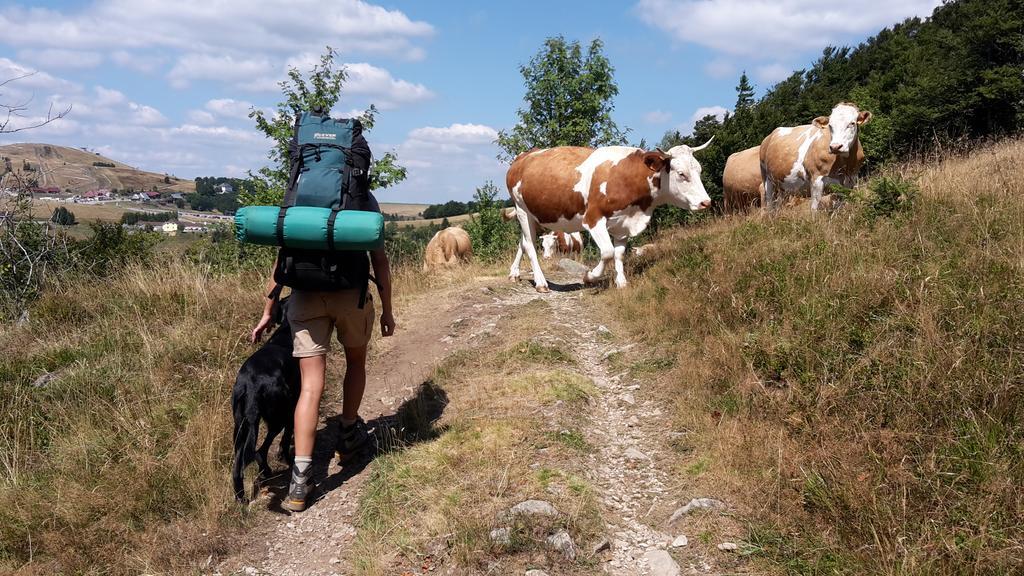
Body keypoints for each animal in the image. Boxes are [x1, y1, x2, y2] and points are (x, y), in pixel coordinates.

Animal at [230, 297, 299, 500]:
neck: (286, 330)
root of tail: (252, 385)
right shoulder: (293, 405)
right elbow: (287, 437)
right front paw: (285, 457)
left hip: (240, 426)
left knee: (238, 467)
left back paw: (241, 498)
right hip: (278, 416)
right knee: (260, 451)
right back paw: (268, 470)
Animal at [505, 139, 712, 291]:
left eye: (700, 170)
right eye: (681, 174)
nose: (706, 202)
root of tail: (524, 156)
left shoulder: (624, 223)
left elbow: (619, 254)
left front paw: (622, 283)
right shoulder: (593, 218)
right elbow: (607, 252)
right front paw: (589, 277)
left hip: (532, 215)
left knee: (523, 242)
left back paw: (514, 273)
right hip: (522, 210)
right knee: (530, 245)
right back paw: (541, 282)